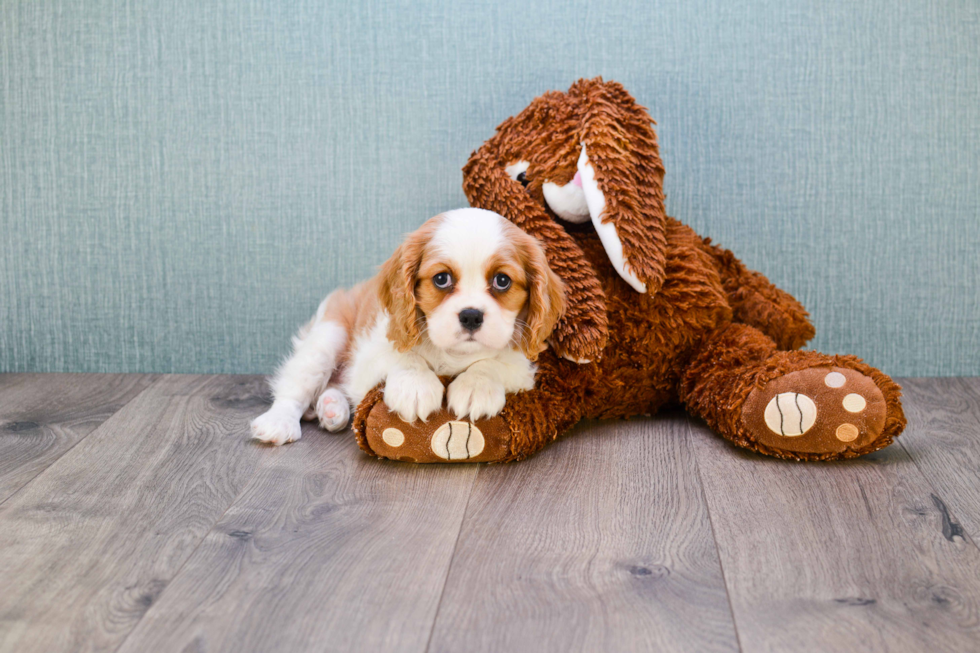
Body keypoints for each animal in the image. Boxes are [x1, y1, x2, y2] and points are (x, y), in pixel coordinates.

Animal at [249, 208, 564, 444]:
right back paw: (279, 423)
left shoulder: (523, 367)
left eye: (502, 281)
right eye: (441, 279)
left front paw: (477, 386)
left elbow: (492, 363)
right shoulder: (371, 353)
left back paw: (330, 409)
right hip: (328, 335)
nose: (471, 315)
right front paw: (415, 386)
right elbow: (403, 356)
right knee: (296, 387)